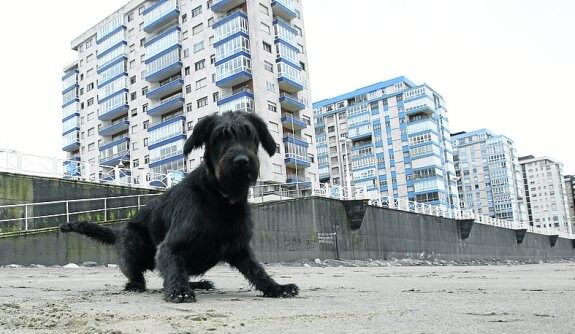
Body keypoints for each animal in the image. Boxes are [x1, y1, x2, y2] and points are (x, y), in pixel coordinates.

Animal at [60, 110, 300, 302]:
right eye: (220, 137)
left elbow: (257, 270)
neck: (220, 197)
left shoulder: (239, 247)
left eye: (250, 135)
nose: (241, 161)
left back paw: (199, 283)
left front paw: (277, 287)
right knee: (142, 275)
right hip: (134, 243)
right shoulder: (170, 247)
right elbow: (174, 267)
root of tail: (120, 233)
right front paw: (180, 291)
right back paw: (138, 285)